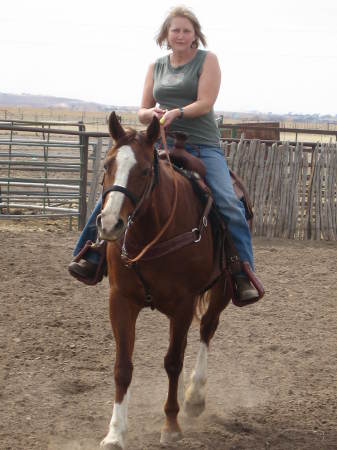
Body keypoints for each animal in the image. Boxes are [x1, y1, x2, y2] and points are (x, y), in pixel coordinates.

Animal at [97, 111, 231, 446]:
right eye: (107, 165)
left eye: (145, 171)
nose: (110, 224)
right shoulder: (121, 300)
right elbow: (123, 366)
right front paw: (115, 433)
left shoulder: (183, 305)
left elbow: (173, 362)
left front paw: (171, 425)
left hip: (223, 289)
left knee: (207, 330)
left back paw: (195, 396)